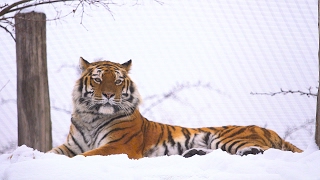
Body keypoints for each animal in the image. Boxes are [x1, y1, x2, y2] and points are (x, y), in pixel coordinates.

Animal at [48, 57, 304, 159]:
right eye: (99, 79)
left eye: (118, 81)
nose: (110, 95)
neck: (92, 117)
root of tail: (271, 131)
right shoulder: (70, 145)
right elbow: (50, 153)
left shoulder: (119, 146)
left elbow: (84, 157)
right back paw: (193, 153)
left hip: (229, 137)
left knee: (264, 153)